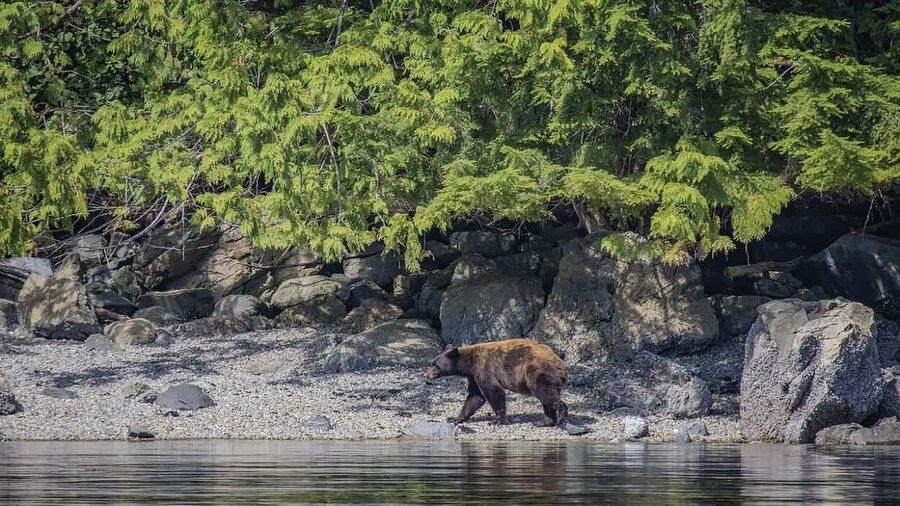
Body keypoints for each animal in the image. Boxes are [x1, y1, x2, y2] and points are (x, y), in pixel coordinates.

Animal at [424, 338, 568, 427]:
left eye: (436, 366)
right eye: (431, 363)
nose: (426, 375)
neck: (469, 363)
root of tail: (561, 363)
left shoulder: (485, 369)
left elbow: (493, 392)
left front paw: (496, 420)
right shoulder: (473, 376)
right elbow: (475, 397)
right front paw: (455, 418)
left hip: (538, 372)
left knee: (545, 394)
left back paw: (561, 415)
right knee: (546, 399)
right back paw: (545, 422)